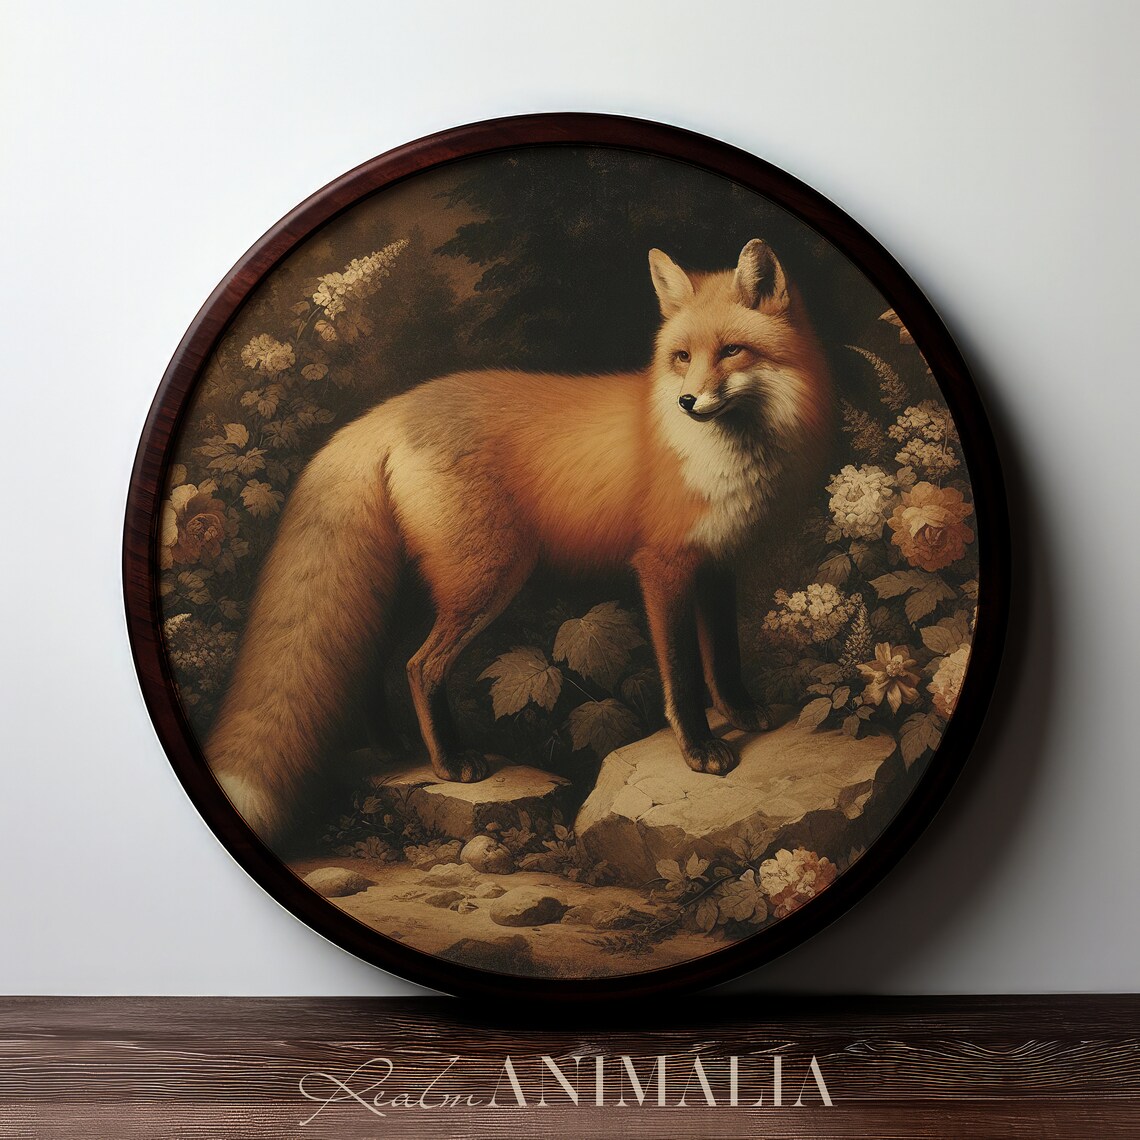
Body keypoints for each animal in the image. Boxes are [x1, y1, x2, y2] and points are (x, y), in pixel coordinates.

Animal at [205, 238, 832, 844]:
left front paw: (742, 713)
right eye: (682, 357)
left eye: (731, 351)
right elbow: (681, 673)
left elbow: (722, 657)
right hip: (487, 579)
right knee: (420, 666)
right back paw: (449, 763)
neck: (726, 458)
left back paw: (391, 749)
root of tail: (391, 409)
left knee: (371, 661)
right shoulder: (663, 565)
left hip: (411, 588)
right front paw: (699, 749)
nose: (687, 402)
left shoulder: (717, 563)